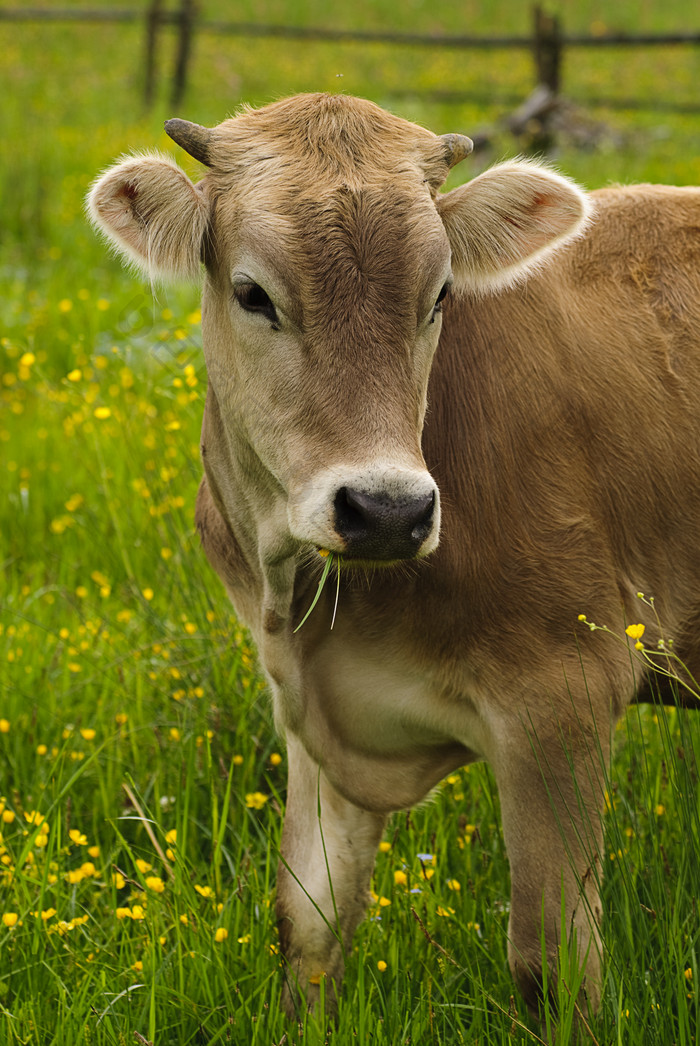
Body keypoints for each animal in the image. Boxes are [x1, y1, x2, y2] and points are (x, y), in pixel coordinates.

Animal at [87, 94, 698, 1025]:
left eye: (439, 294)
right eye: (252, 294)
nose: (387, 510)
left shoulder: (565, 690)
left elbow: (553, 963)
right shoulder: (307, 701)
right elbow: (307, 922)